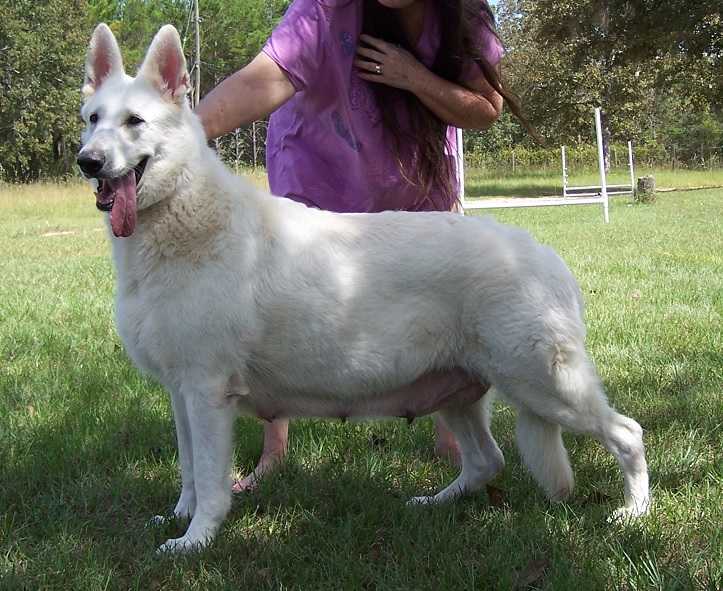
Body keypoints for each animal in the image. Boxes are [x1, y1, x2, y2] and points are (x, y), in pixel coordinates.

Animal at [78, 23, 652, 552]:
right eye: (93, 121)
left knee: (627, 434)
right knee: (486, 461)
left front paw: (195, 541)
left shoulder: (206, 391)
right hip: (460, 392)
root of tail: (544, 255)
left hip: (546, 386)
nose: (88, 161)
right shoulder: (181, 394)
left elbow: (212, 482)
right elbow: (189, 472)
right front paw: (178, 518)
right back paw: (434, 502)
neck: (179, 217)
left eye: (134, 123)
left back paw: (633, 514)